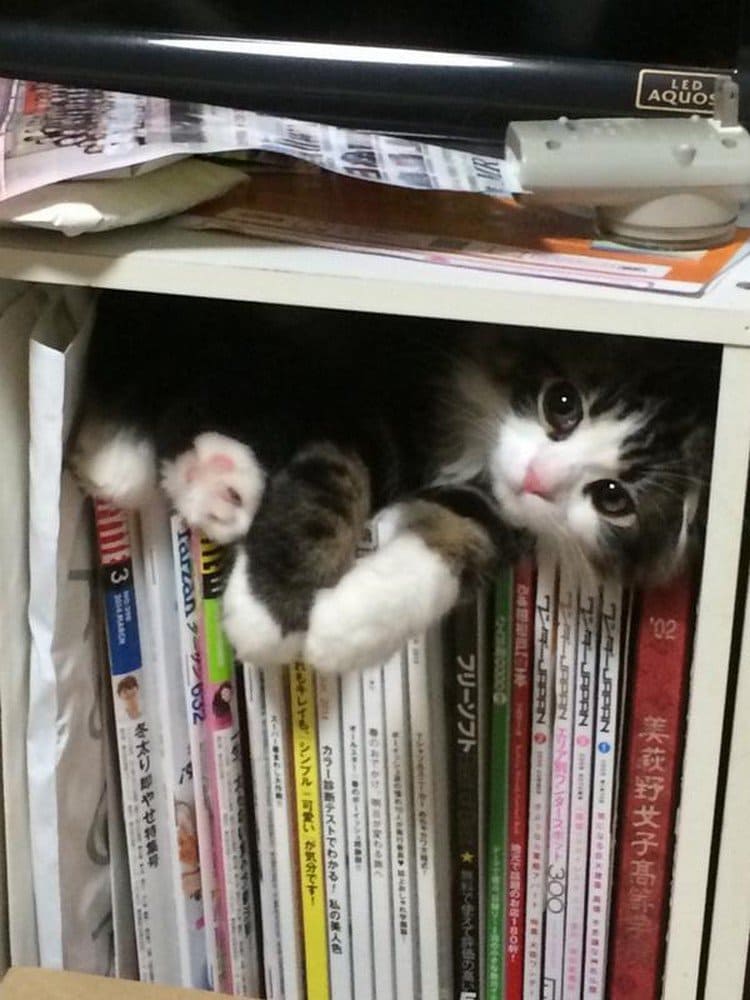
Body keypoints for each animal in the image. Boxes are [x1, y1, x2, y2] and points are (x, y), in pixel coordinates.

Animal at [72, 292, 724, 676]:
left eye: (613, 497)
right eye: (561, 404)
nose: (537, 478)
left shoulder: (496, 504)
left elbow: (456, 539)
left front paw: (342, 630)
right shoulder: (362, 396)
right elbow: (330, 487)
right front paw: (268, 618)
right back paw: (157, 464)